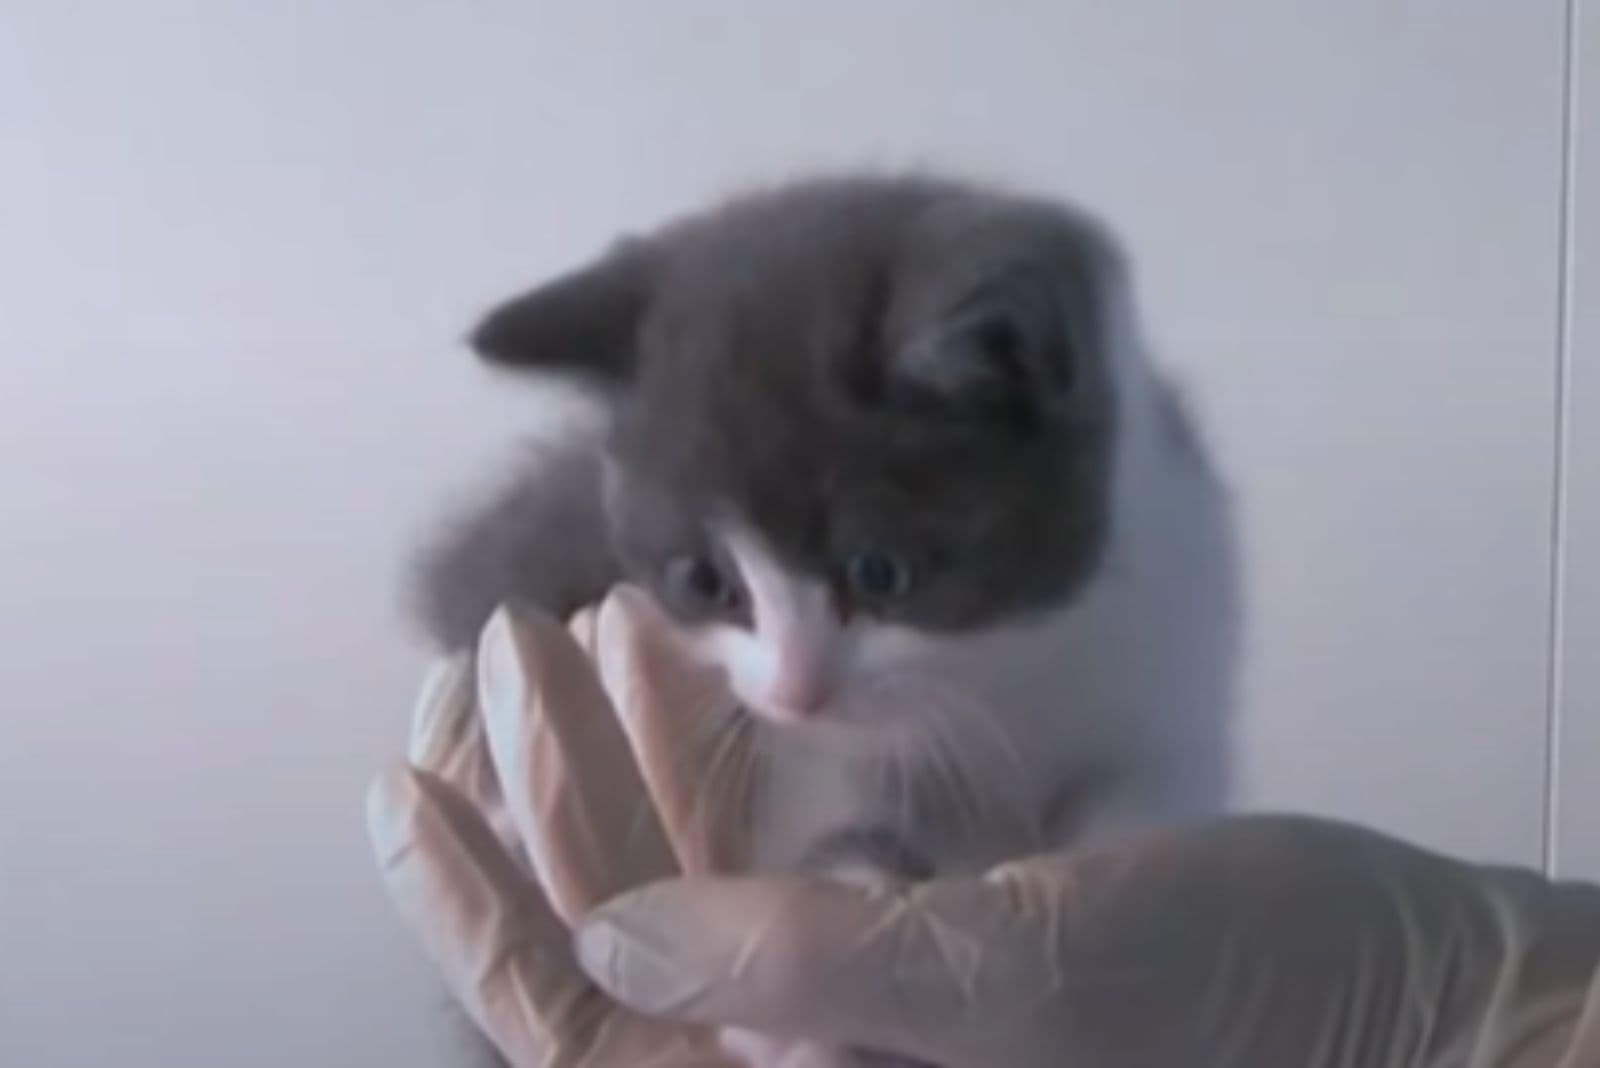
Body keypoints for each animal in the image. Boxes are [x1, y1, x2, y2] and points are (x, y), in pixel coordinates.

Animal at [409, 171, 1235, 1061]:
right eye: (704, 581)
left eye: (878, 572)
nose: (795, 694)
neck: (1004, 664)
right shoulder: (799, 757)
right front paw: (797, 1000)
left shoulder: (1174, 635)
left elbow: (1147, 817)